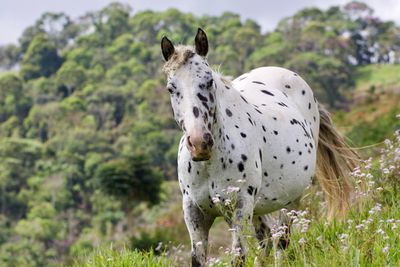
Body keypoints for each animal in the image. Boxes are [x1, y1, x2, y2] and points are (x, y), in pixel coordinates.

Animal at [161, 28, 358, 266]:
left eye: (208, 82)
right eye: (171, 88)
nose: (200, 143)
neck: (211, 164)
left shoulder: (241, 206)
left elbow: (239, 257)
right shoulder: (195, 213)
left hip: (289, 199)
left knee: (281, 241)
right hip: (259, 208)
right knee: (266, 239)